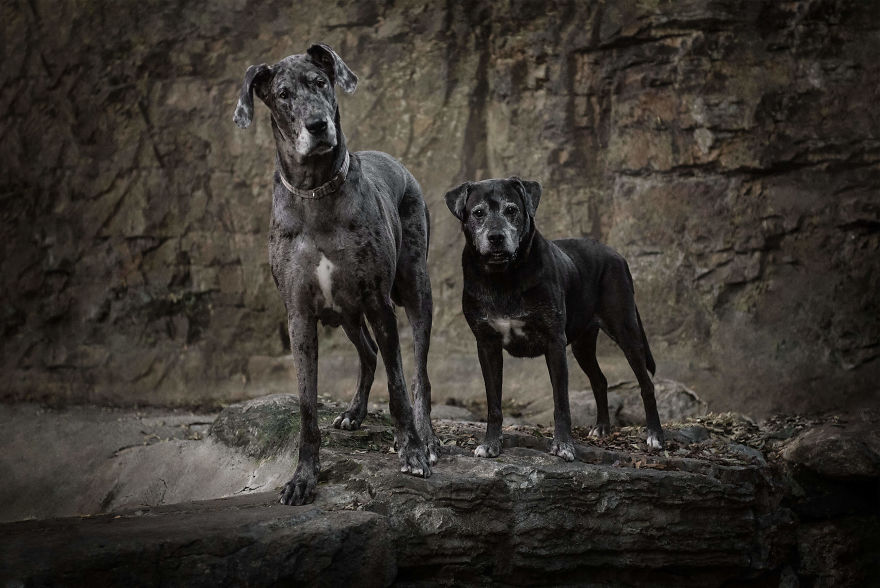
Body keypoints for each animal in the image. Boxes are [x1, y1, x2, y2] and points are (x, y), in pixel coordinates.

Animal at [234, 44, 436, 506]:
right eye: (283, 94)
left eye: (321, 82)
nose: (317, 124)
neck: (315, 193)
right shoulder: (300, 317)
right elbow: (307, 406)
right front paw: (303, 477)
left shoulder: (380, 305)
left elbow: (398, 388)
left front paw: (412, 451)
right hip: (346, 313)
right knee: (369, 354)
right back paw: (354, 413)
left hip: (415, 290)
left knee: (418, 374)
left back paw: (428, 438)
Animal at [444, 177, 664, 458]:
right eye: (478, 212)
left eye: (511, 210)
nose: (496, 237)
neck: (503, 276)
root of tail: (616, 255)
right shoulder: (487, 345)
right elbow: (493, 403)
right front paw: (491, 444)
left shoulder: (554, 343)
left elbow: (561, 401)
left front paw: (563, 445)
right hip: (583, 345)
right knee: (600, 380)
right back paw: (602, 427)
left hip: (626, 331)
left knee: (646, 384)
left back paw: (655, 436)